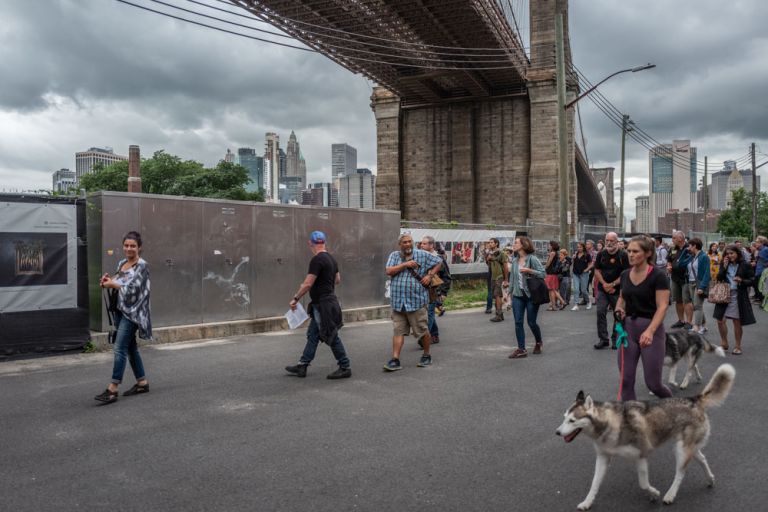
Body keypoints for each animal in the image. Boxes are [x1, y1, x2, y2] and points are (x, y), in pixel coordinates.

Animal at [560, 364, 736, 508]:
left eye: (572, 420)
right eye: (564, 418)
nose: (557, 432)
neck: (610, 423)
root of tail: (693, 399)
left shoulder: (641, 455)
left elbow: (643, 483)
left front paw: (654, 494)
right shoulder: (603, 457)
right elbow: (594, 483)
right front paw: (587, 502)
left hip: (681, 450)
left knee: (680, 473)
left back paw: (670, 494)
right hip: (688, 446)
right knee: (702, 458)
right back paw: (710, 479)